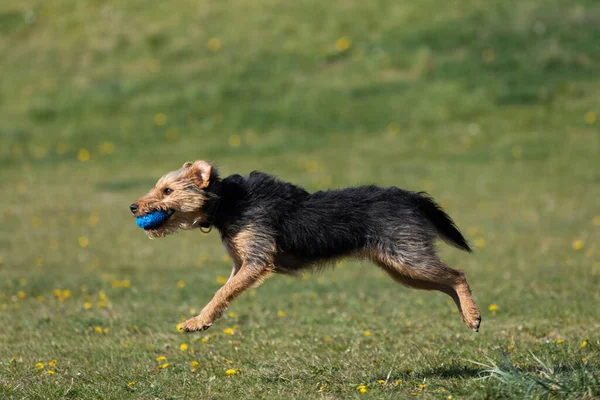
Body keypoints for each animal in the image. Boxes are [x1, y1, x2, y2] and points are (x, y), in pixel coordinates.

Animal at [129, 161, 480, 332]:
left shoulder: (256, 262)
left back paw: (473, 315)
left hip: (407, 258)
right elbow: (223, 292)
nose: (133, 206)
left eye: (167, 190)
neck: (226, 202)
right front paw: (202, 319)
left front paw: (197, 322)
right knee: (449, 282)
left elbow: (220, 293)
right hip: (402, 268)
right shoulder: (240, 264)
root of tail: (411, 197)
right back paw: (467, 316)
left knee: (458, 275)